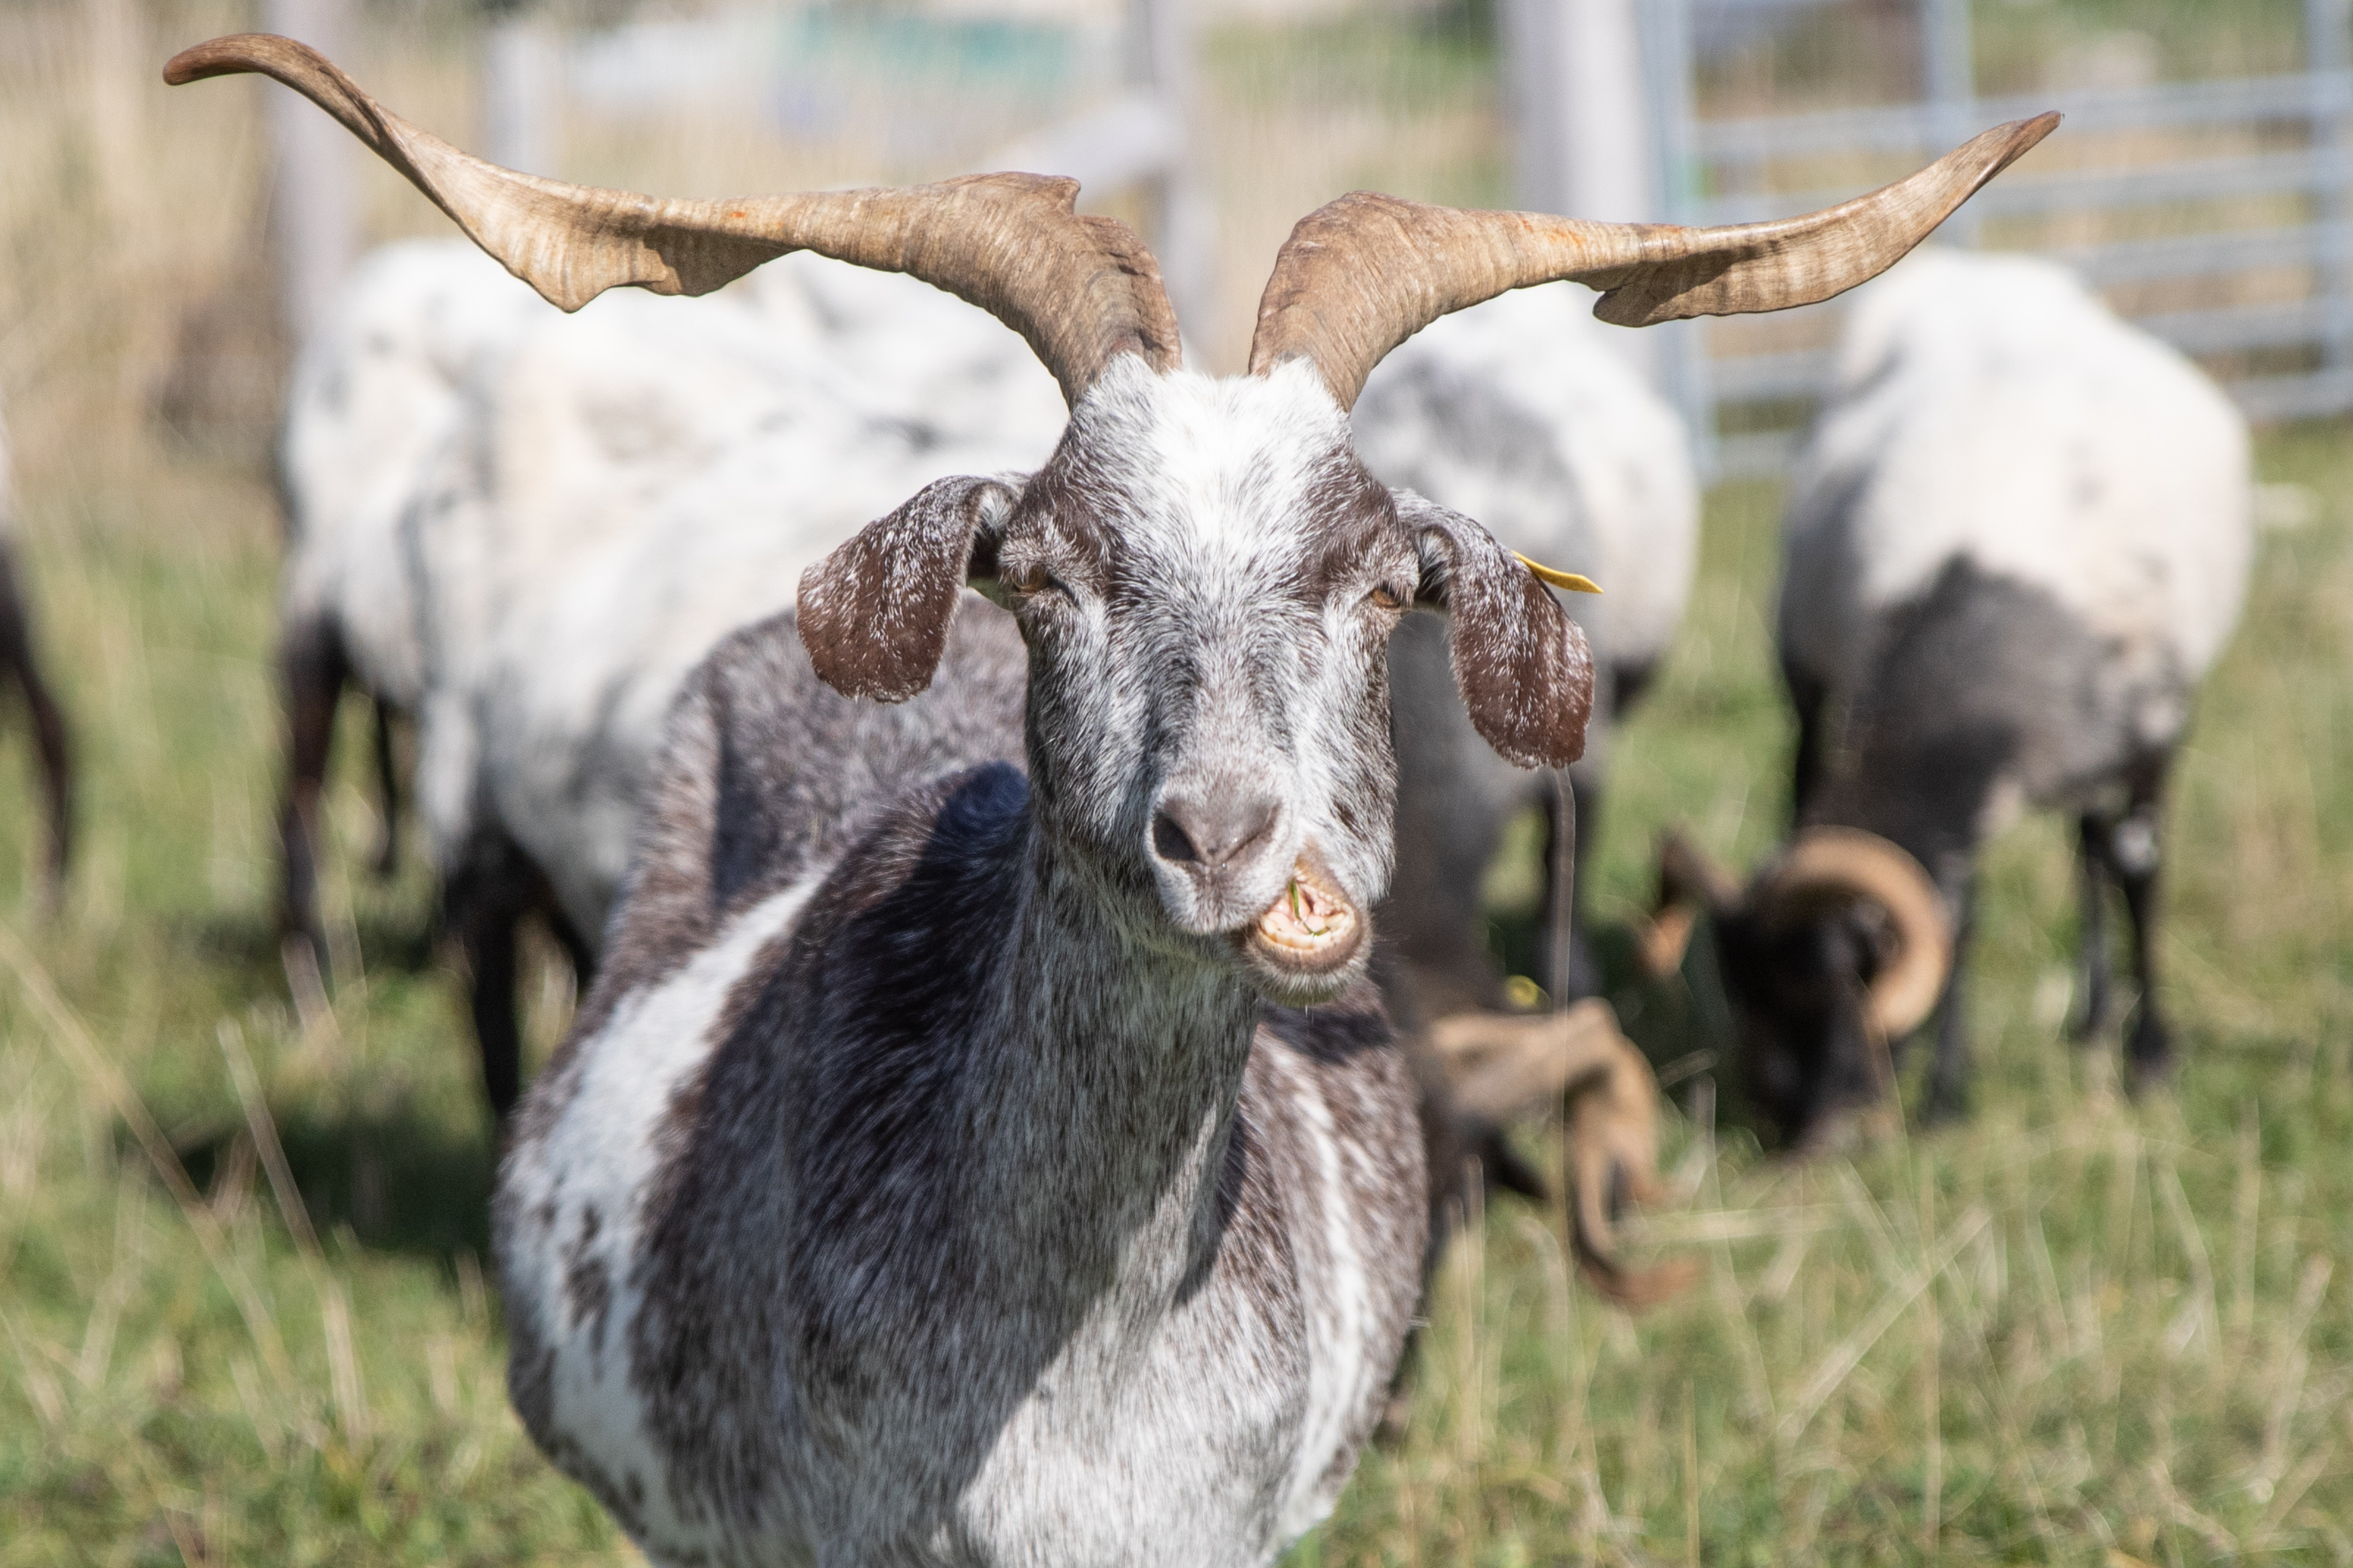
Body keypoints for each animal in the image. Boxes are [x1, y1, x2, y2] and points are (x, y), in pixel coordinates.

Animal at [1647, 248, 2249, 1151]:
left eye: (1824, 980)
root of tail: (1991, 272)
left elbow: (2140, 880)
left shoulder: (2154, 728)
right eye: (1741, 988)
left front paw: (2149, 1061)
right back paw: (2087, 1016)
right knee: (2079, 844)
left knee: (2098, 850)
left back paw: (2098, 1021)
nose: (1801, 1134)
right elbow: (1959, 919)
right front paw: (1945, 1099)